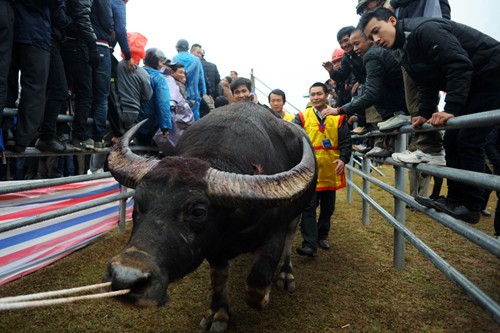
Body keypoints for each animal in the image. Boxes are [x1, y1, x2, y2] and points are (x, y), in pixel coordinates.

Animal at [102, 102, 316, 330]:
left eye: (197, 212)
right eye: (138, 201)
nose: (125, 278)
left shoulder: (274, 232)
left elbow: (257, 286)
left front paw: (264, 296)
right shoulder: (212, 246)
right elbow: (219, 277)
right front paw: (219, 314)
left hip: (297, 214)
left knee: (290, 237)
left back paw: (286, 274)